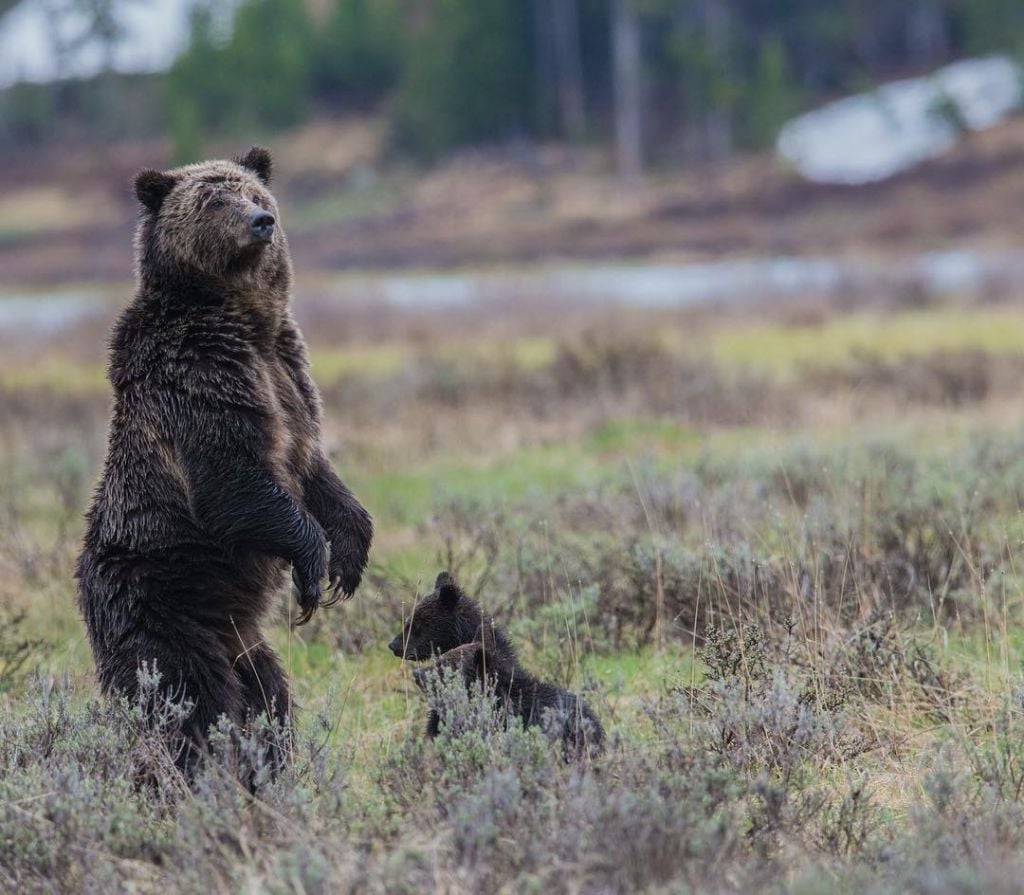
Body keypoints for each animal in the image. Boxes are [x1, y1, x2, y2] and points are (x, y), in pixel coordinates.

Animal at [75, 146, 372, 765]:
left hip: (245, 641)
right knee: (187, 697)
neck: (244, 319)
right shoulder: (201, 380)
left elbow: (314, 466)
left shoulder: (286, 370)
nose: (263, 222)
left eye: (255, 192)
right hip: (161, 606)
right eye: (215, 199)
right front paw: (313, 566)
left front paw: (348, 558)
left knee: (268, 698)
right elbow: (232, 481)